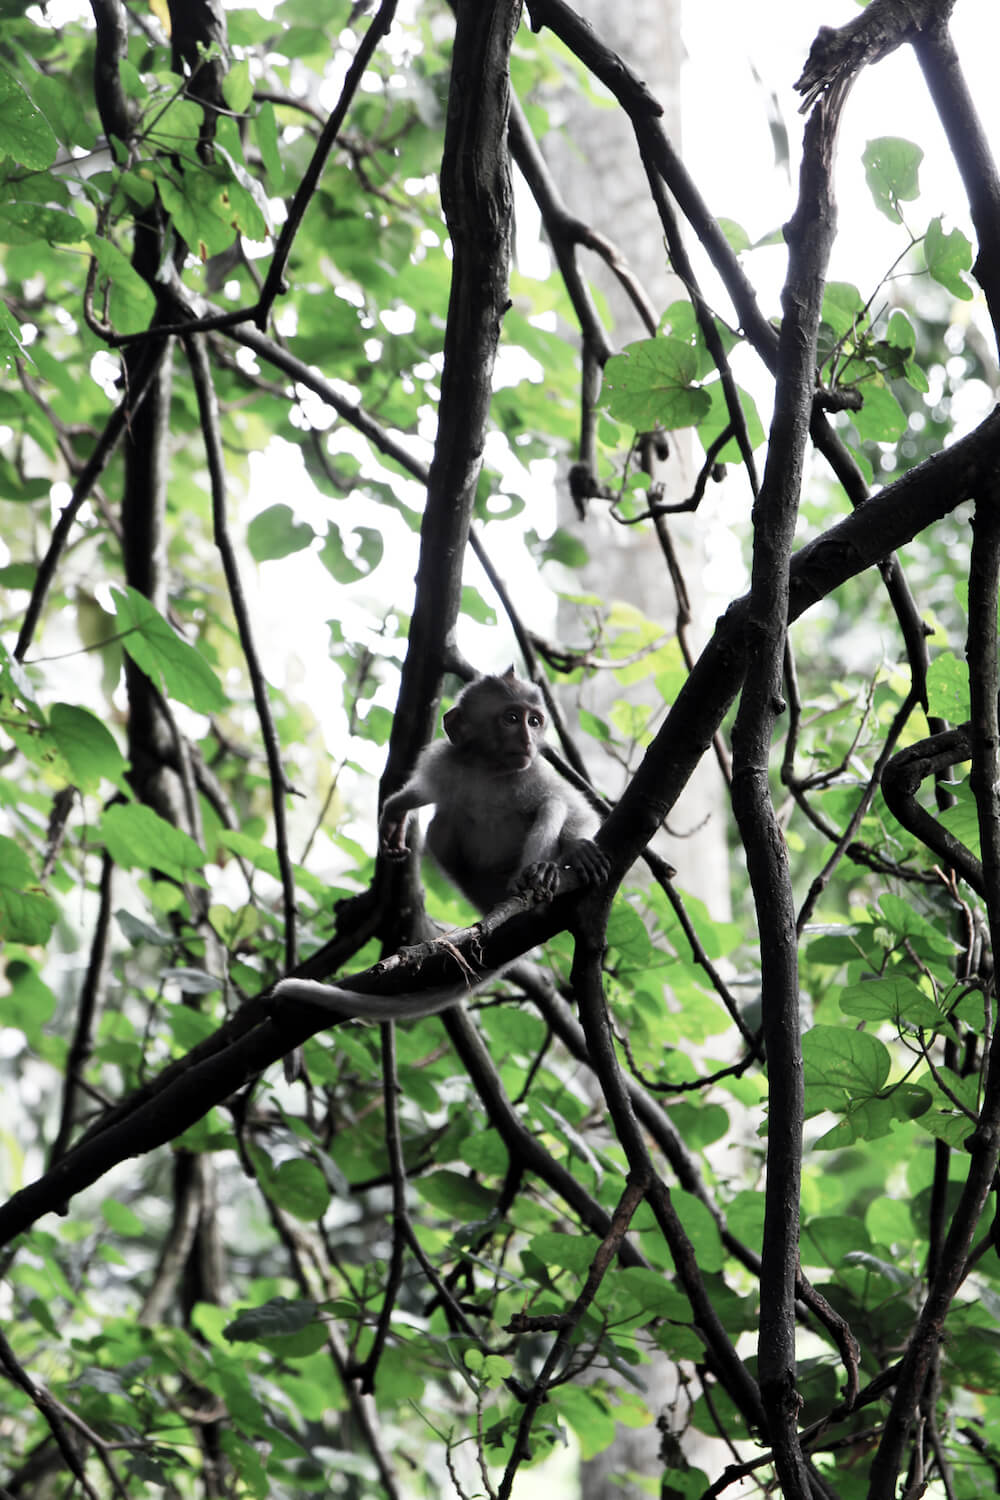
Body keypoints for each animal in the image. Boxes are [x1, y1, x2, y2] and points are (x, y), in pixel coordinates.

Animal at [271, 669, 609, 1025]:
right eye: (512, 718)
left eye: (534, 721)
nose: (528, 740)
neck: (489, 770)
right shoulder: (446, 762)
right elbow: (428, 793)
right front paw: (396, 809)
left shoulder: (535, 771)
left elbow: (578, 810)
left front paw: (578, 849)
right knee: (441, 827)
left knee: (553, 804)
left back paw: (536, 880)